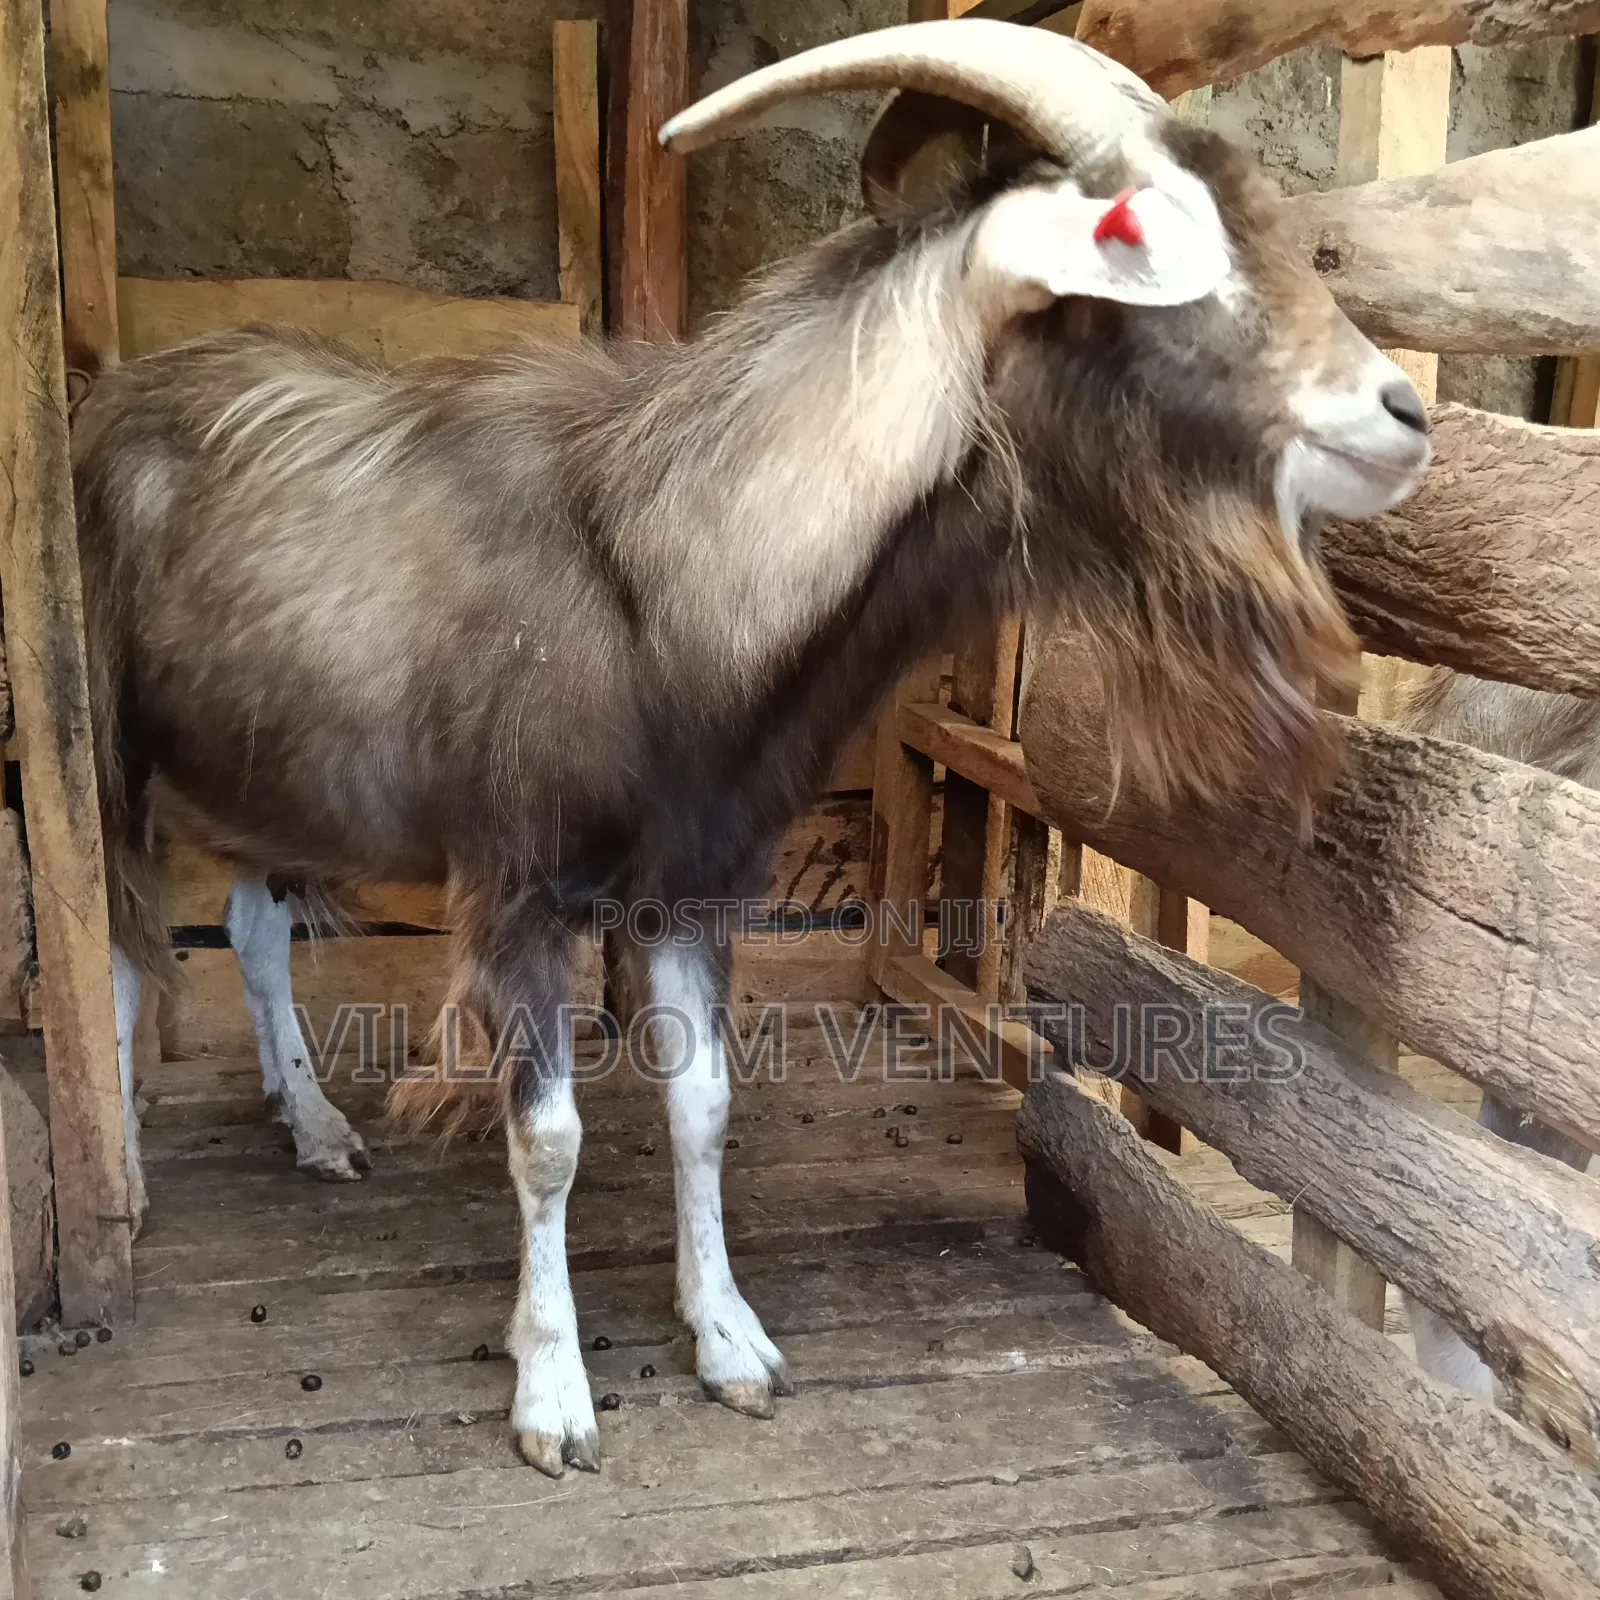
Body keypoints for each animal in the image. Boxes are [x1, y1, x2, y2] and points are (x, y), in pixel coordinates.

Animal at [73, 20, 1431, 1476]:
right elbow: (548, 1137)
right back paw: (129, 1173)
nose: (1403, 414)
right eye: (1138, 231)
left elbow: (704, 1108)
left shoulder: (697, 882)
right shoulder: (519, 883)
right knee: (117, 948)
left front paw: (727, 1340)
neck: (663, 571)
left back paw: (317, 1125)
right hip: (110, 750)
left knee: (253, 926)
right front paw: (552, 1394)